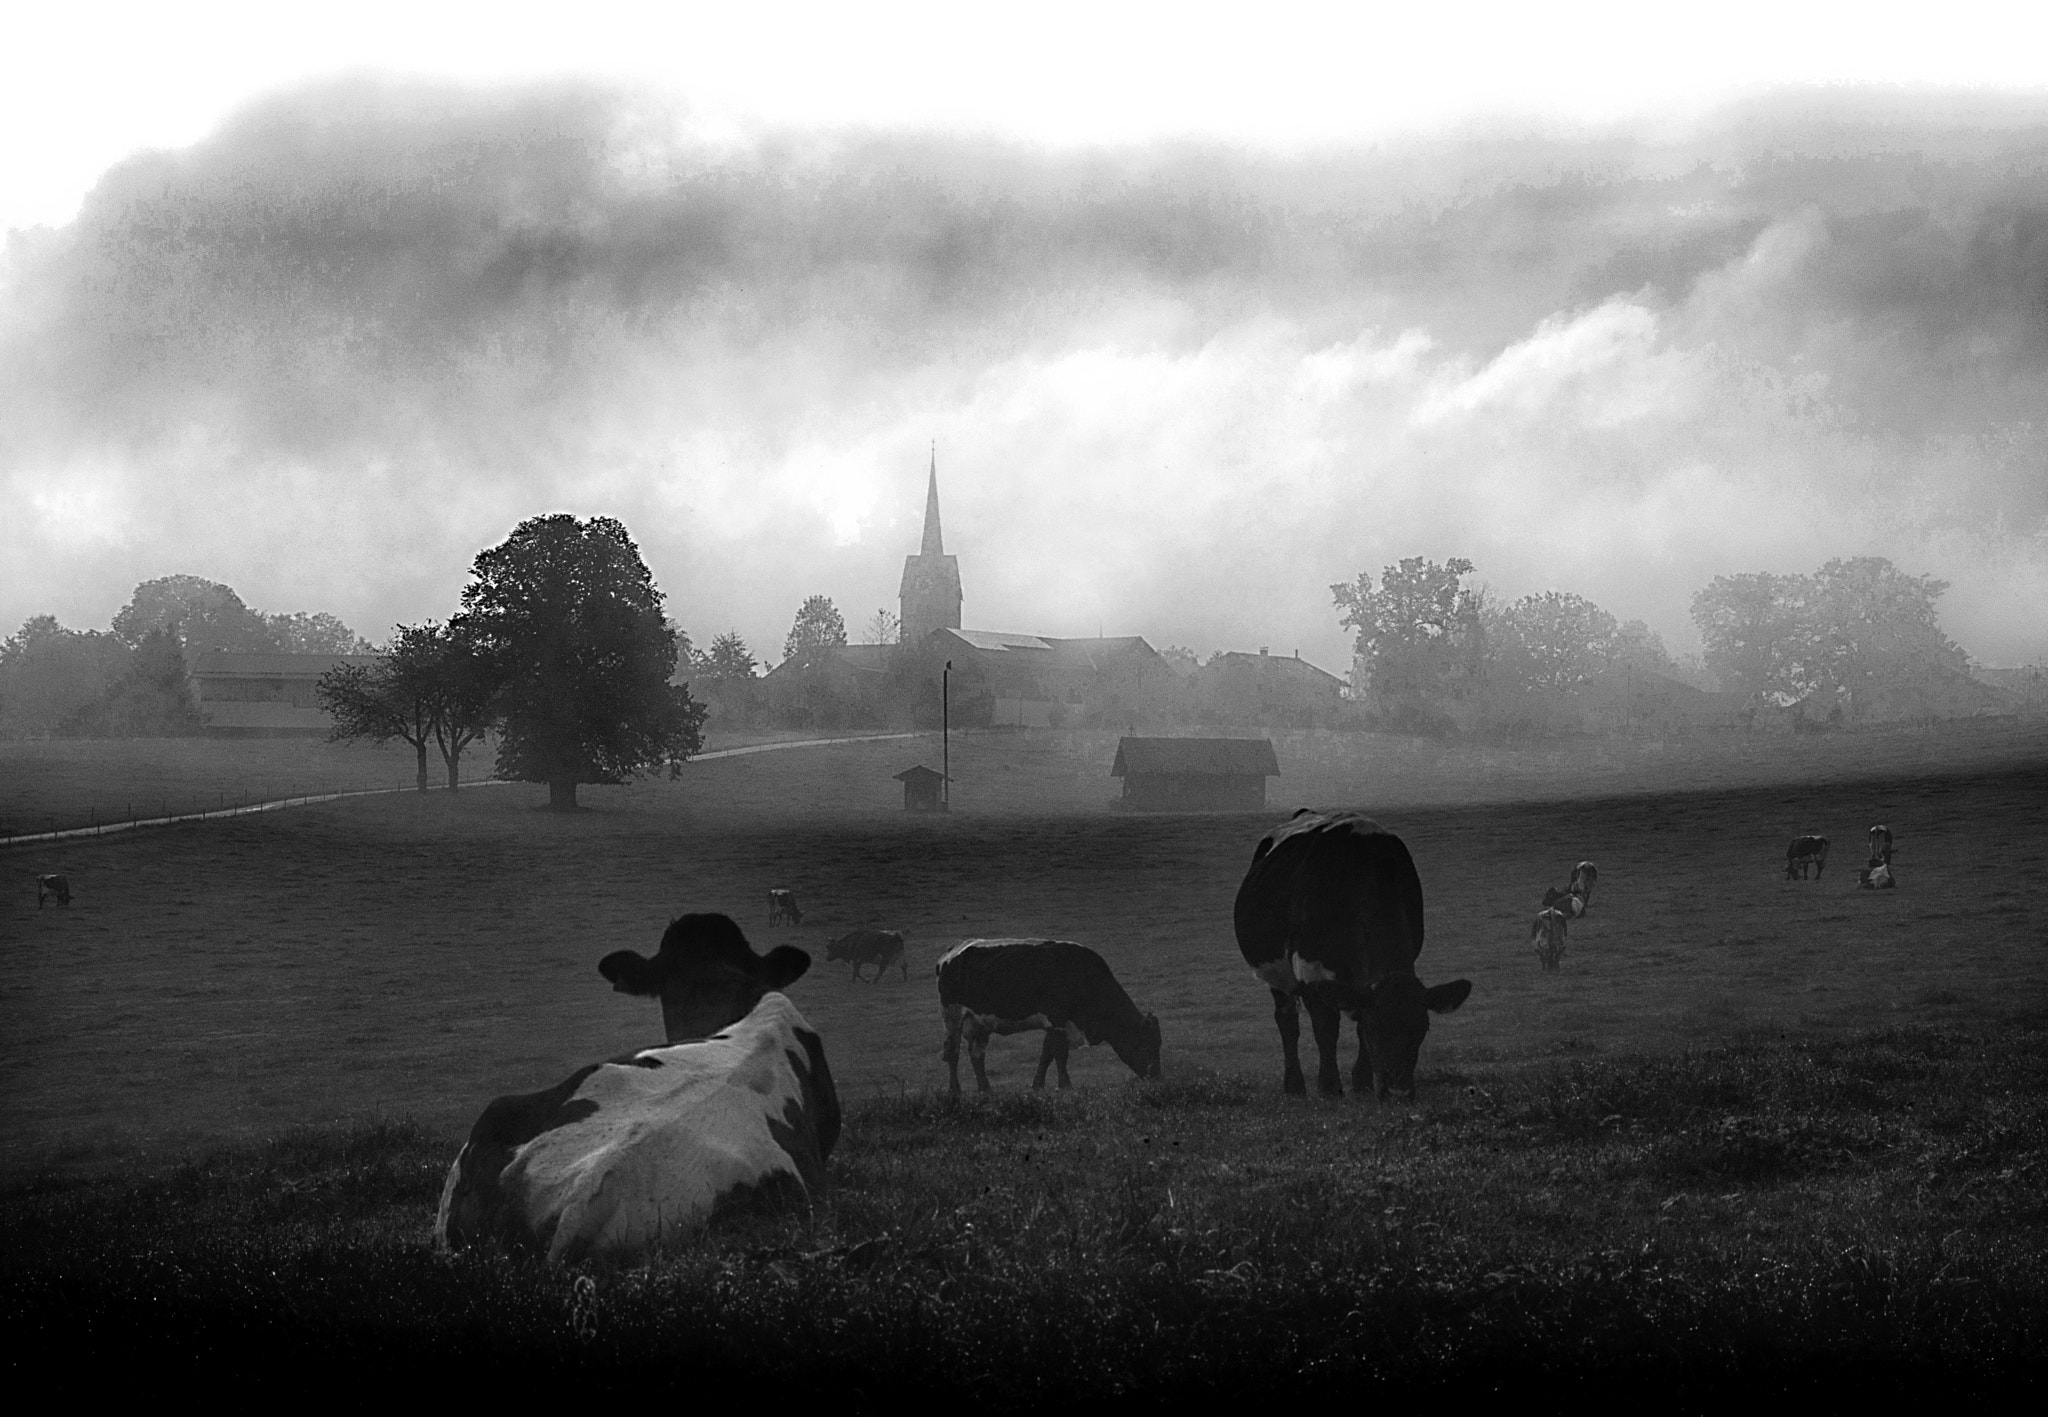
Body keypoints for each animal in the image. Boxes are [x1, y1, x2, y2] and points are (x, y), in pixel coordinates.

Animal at [937, 941, 1163, 1097]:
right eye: (1147, 1043)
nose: (1156, 1078)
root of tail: (951, 952)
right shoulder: (1057, 1018)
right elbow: (1060, 1053)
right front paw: (1065, 1085)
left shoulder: (1054, 1024)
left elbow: (1047, 1053)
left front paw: (1038, 1085)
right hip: (952, 1017)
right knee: (952, 1053)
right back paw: (955, 1090)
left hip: (980, 1024)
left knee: (976, 1055)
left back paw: (986, 1089)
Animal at [1228, 806, 1474, 1097]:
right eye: (1375, 1028)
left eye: (1422, 1028)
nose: (1398, 1093)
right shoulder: (1311, 969)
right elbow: (1326, 1029)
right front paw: (1330, 1088)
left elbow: (1356, 1029)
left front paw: (1362, 1082)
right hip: (1275, 972)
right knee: (1287, 1021)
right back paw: (1294, 1086)